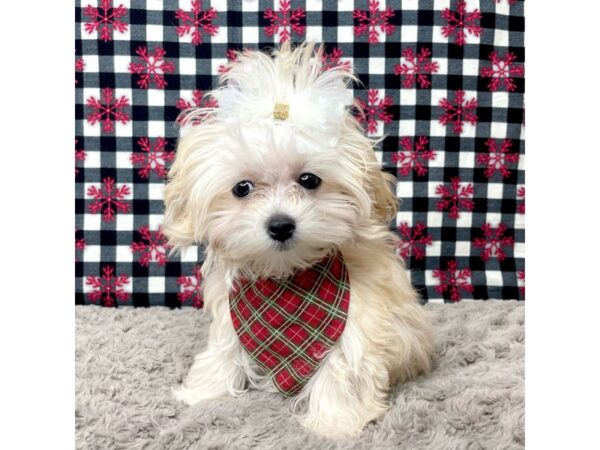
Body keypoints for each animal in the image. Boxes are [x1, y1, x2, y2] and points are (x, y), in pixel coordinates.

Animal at [164, 41, 432, 436]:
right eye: (242, 188)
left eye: (309, 180)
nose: (280, 225)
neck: (287, 281)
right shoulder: (232, 316)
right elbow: (224, 350)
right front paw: (204, 392)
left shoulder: (357, 321)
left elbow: (344, 366)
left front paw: (336, 422)